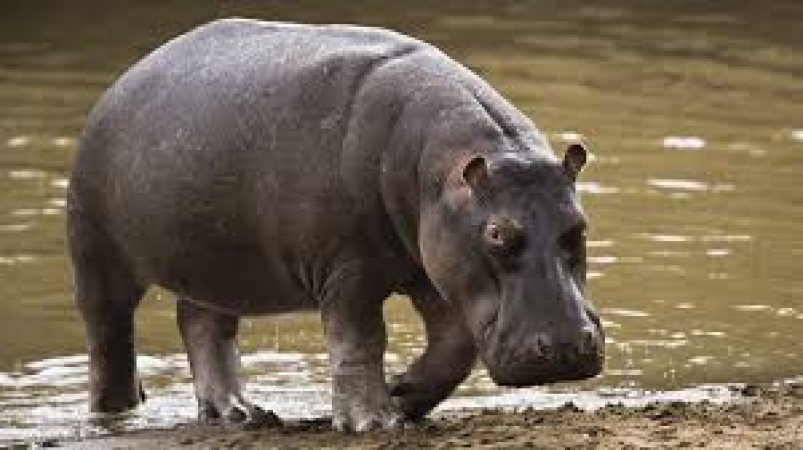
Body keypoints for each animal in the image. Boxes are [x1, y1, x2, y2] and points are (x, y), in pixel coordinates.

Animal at [67, 18, 604, 432]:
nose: (564, 346)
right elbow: (359, 339)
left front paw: (401, 394)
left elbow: (453, 346)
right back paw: (116, 414)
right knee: (109, 337)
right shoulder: (348, 269)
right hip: (97, 252)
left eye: (580, 224)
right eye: (497, 233)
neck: (439, 171)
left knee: (202, 324)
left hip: (216, 263)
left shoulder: (433, 266)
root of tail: (126, 78)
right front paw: (375, 422)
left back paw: (240, 413)